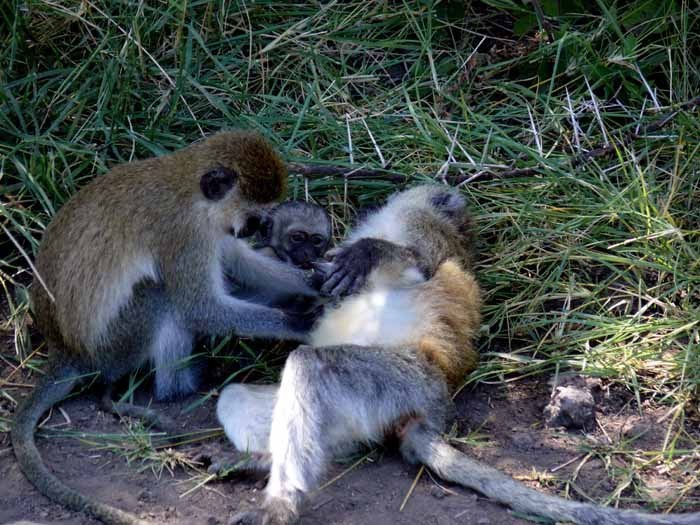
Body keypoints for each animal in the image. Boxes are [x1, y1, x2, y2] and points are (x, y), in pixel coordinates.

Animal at [11, 130, 322, 524]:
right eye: (254, 219)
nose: (252, 231)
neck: (188, 189)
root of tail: (64, 350)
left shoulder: (210, 230)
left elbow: (239, 261)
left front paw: (324, 282)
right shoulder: (185, 235)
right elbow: (199, 308)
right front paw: (301, 322)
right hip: (117, 343)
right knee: (162, 296)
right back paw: (182, 385)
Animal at [217, 185, 700, 524]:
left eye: (313, 240)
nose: (306, 253)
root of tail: (428, 413)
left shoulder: (425, 238)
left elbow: (416, 266)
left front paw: (368, 253)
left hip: (406, 383)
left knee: (311, 365)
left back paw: (282, 502)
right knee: (237, 396)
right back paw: (264, 464)